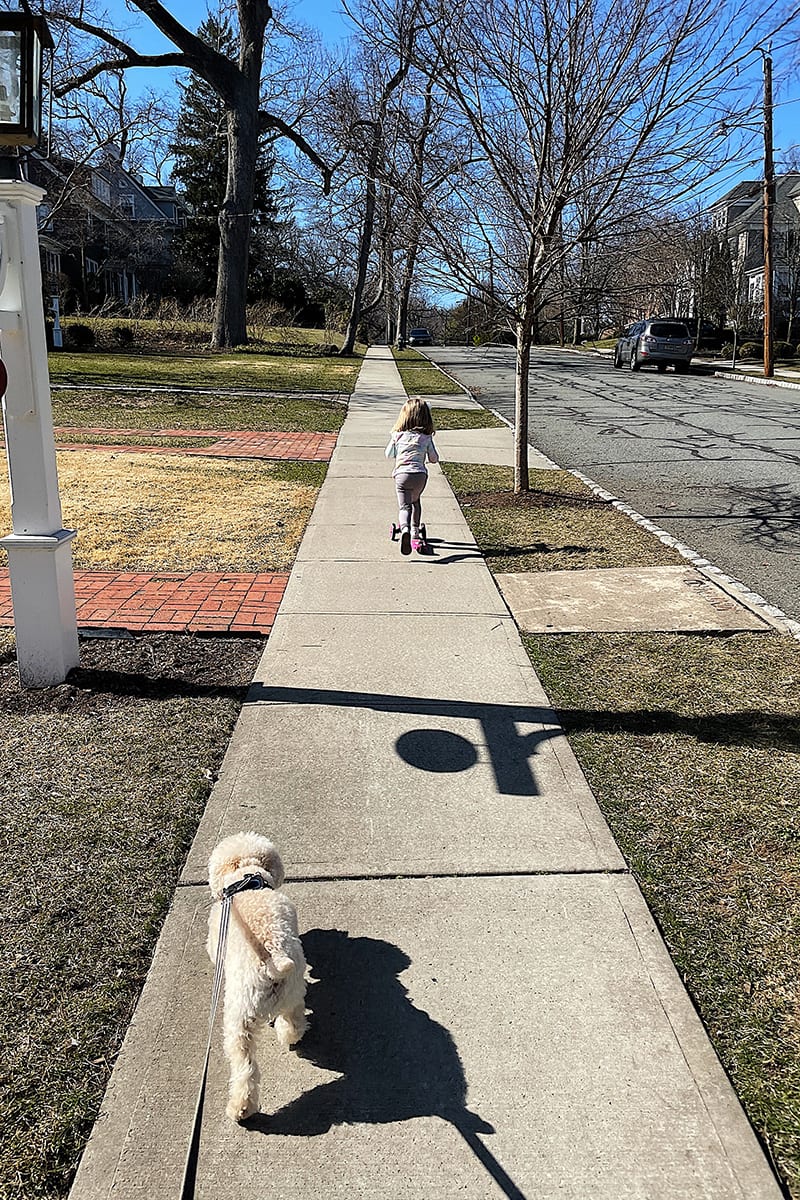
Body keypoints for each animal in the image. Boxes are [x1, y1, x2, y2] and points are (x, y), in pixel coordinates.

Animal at [206, 830, 307, 1118]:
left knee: (245, 1067)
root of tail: (272, 961)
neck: (246, 880)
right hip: (294, 989)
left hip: (239, 1020)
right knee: (293, 1019)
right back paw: (291, 1035)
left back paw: (240, 1108)